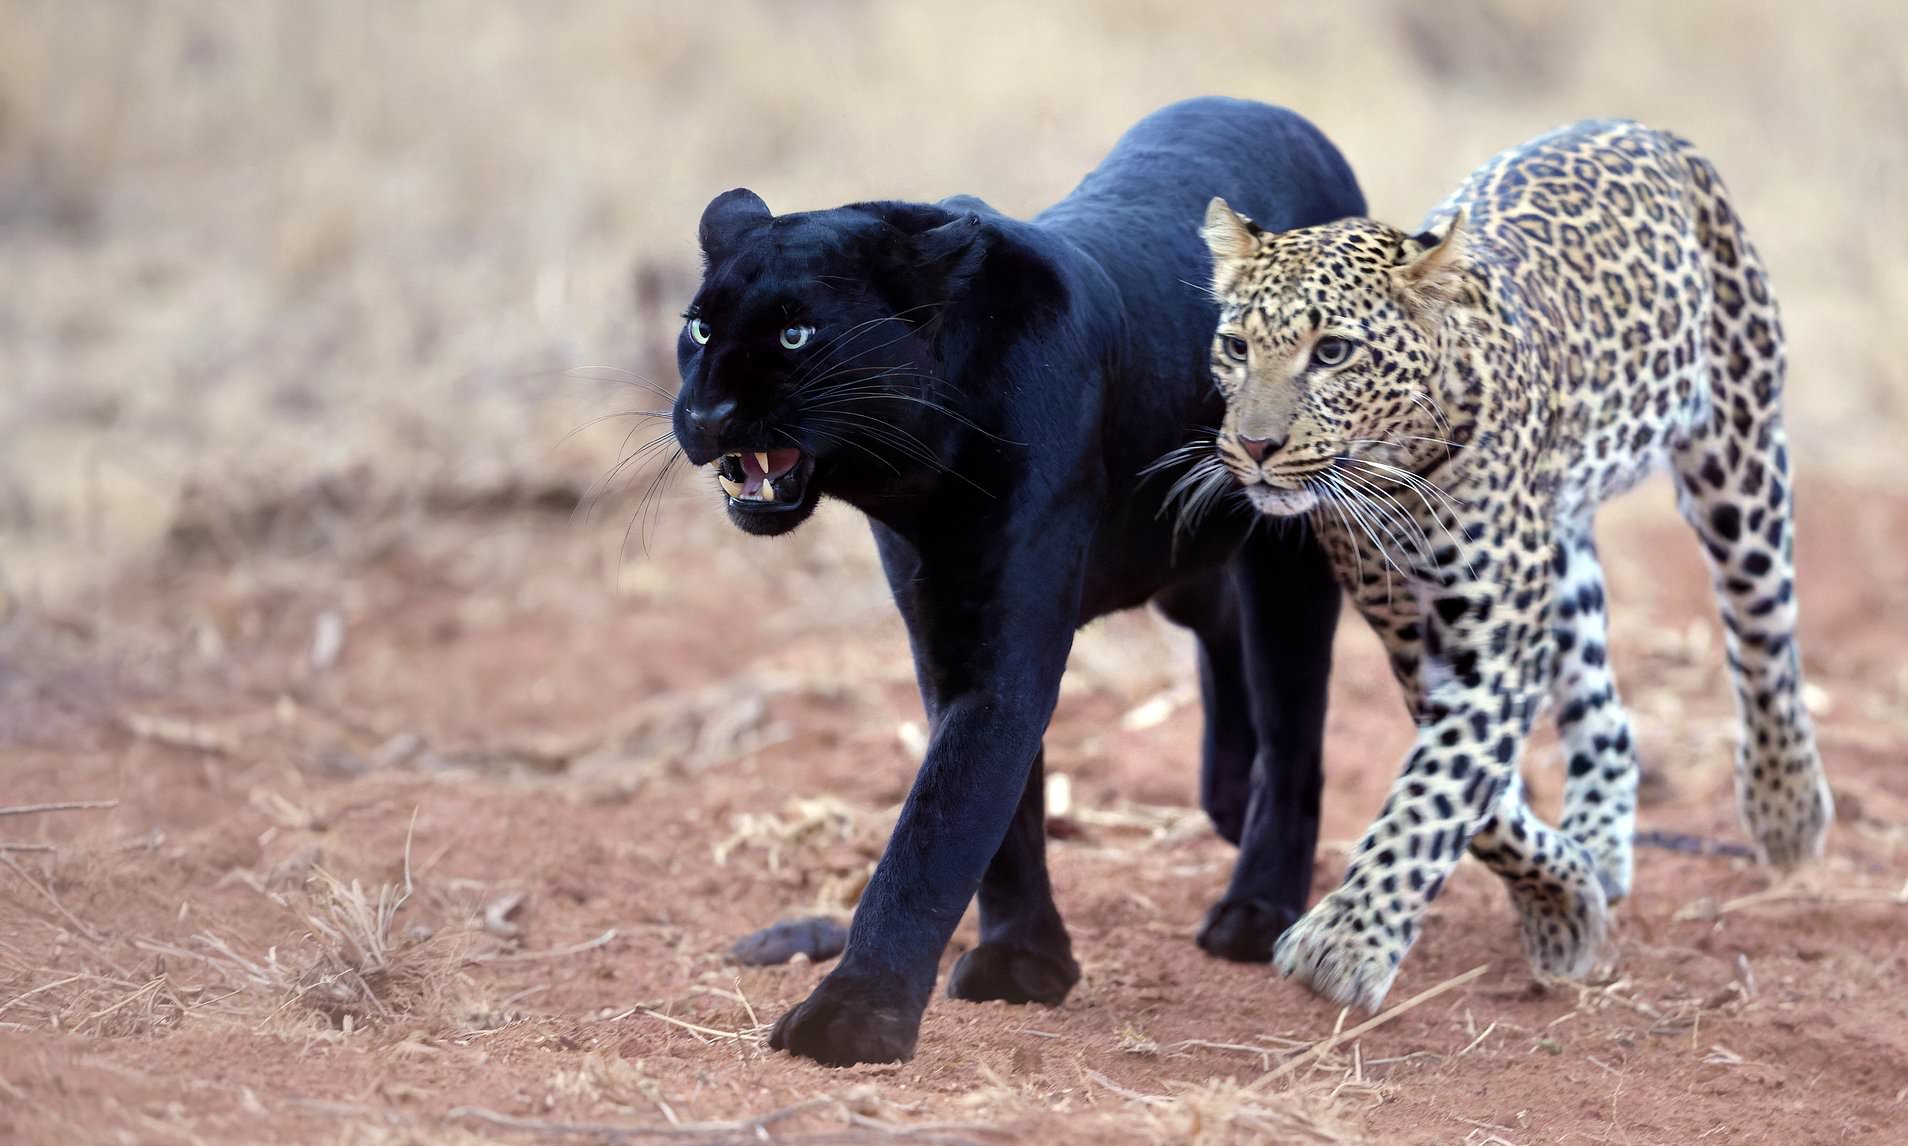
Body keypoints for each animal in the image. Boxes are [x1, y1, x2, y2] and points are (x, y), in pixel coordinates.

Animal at [1194, 119, 1834, 1010]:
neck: (1395, 474)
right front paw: (1563, 903)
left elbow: (1437, 788)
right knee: (1606, 711)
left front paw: (1344, 942)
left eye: (1332, 352)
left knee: (1764, 629)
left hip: (1739, 454)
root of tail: (1646, 130)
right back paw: (1600, 843)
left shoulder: (1494, 644)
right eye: (1235, 345)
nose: (1253, 446)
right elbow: (1479, 797)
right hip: (1560, 561)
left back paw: (1787, 809)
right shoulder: (1416, 641)